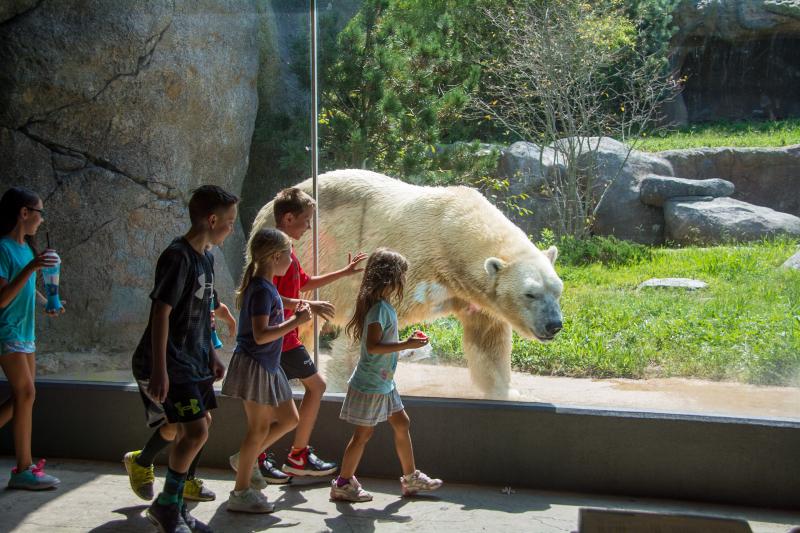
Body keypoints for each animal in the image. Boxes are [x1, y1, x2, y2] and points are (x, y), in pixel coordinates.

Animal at [250, 169, 564, 397]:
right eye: (530, 294)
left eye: (557, 291)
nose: (554, 325)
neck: (450, 229)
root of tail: (266, 206)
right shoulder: (412, 261)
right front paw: (341, 386)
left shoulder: (471, 293)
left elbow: (488, 339)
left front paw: (506, 392)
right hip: (306, 253)